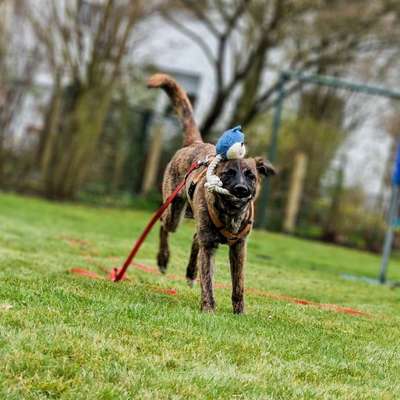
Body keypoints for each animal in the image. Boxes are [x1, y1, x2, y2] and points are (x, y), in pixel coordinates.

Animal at [147, 73, 276, 314]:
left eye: (251, 176)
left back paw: (190, 272)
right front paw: (208, 308)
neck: (230, 214)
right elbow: (207, 279)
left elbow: (238, 284)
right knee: (163, 225)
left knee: (194, 238)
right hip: (174, 213)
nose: (241, 190)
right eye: (228, 173)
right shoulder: (209, 246)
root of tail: (195, 143)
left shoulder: (239, 248)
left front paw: (239, 312)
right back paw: (163, 259)